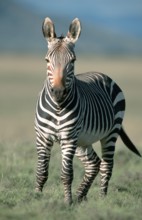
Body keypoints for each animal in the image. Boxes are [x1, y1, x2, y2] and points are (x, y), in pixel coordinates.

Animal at [35, 17, 141, 205]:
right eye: (47, 60)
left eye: (73, 61)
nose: (58, 92)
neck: (58, 106)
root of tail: (102, 74)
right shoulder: (42, 137)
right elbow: (42, 171)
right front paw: (36, 197)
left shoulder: (69, 138)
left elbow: (66, 174)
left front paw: (67, 202)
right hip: (83, 140)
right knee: (94, 163)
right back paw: (80, 196)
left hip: (110, 133)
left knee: (106, 165)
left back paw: (102, 199)